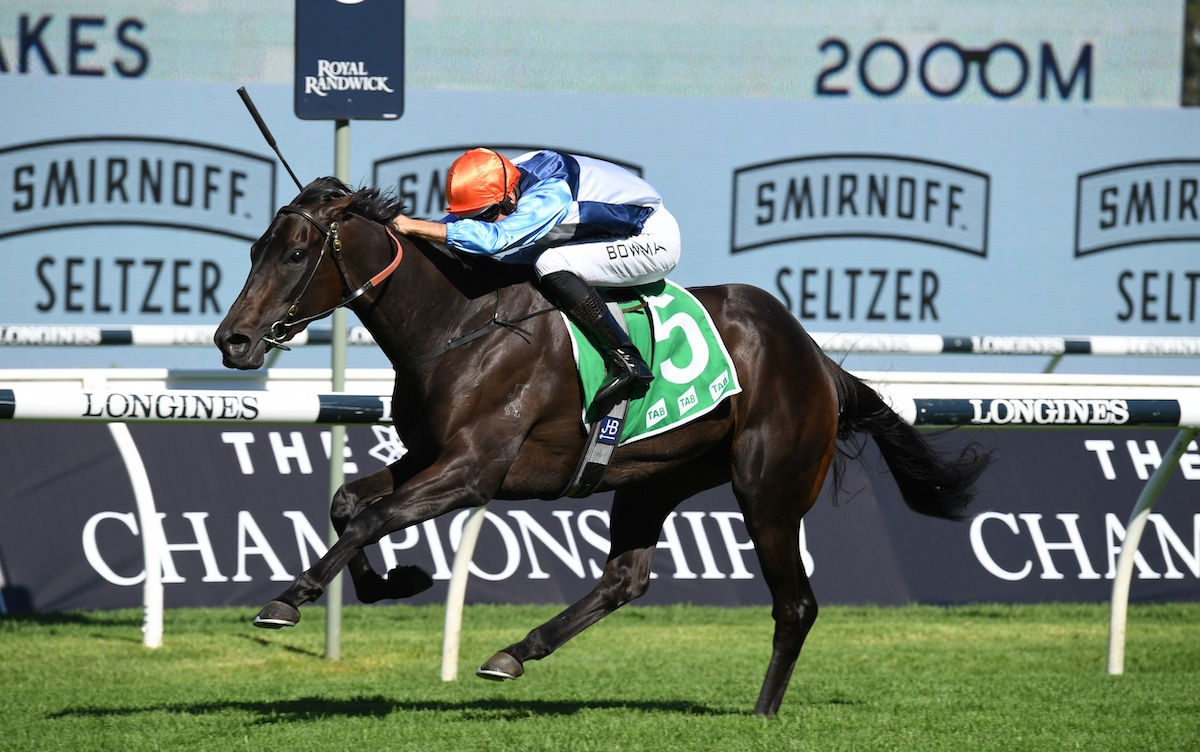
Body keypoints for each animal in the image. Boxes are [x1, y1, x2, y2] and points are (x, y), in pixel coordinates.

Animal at [216, 176, 993, 719]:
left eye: (294, 253)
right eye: (254, 250)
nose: (234, 340)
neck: (459, 323)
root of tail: (815, 358)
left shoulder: (474, 471)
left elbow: (375, 516)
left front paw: (288, 598)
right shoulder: (433, 455)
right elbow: (350, 504)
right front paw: (396, 581)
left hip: (769, 492)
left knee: (795, 605)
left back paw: (764, 712)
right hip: (653, 477)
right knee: (626, 577)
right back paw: (514, 653)